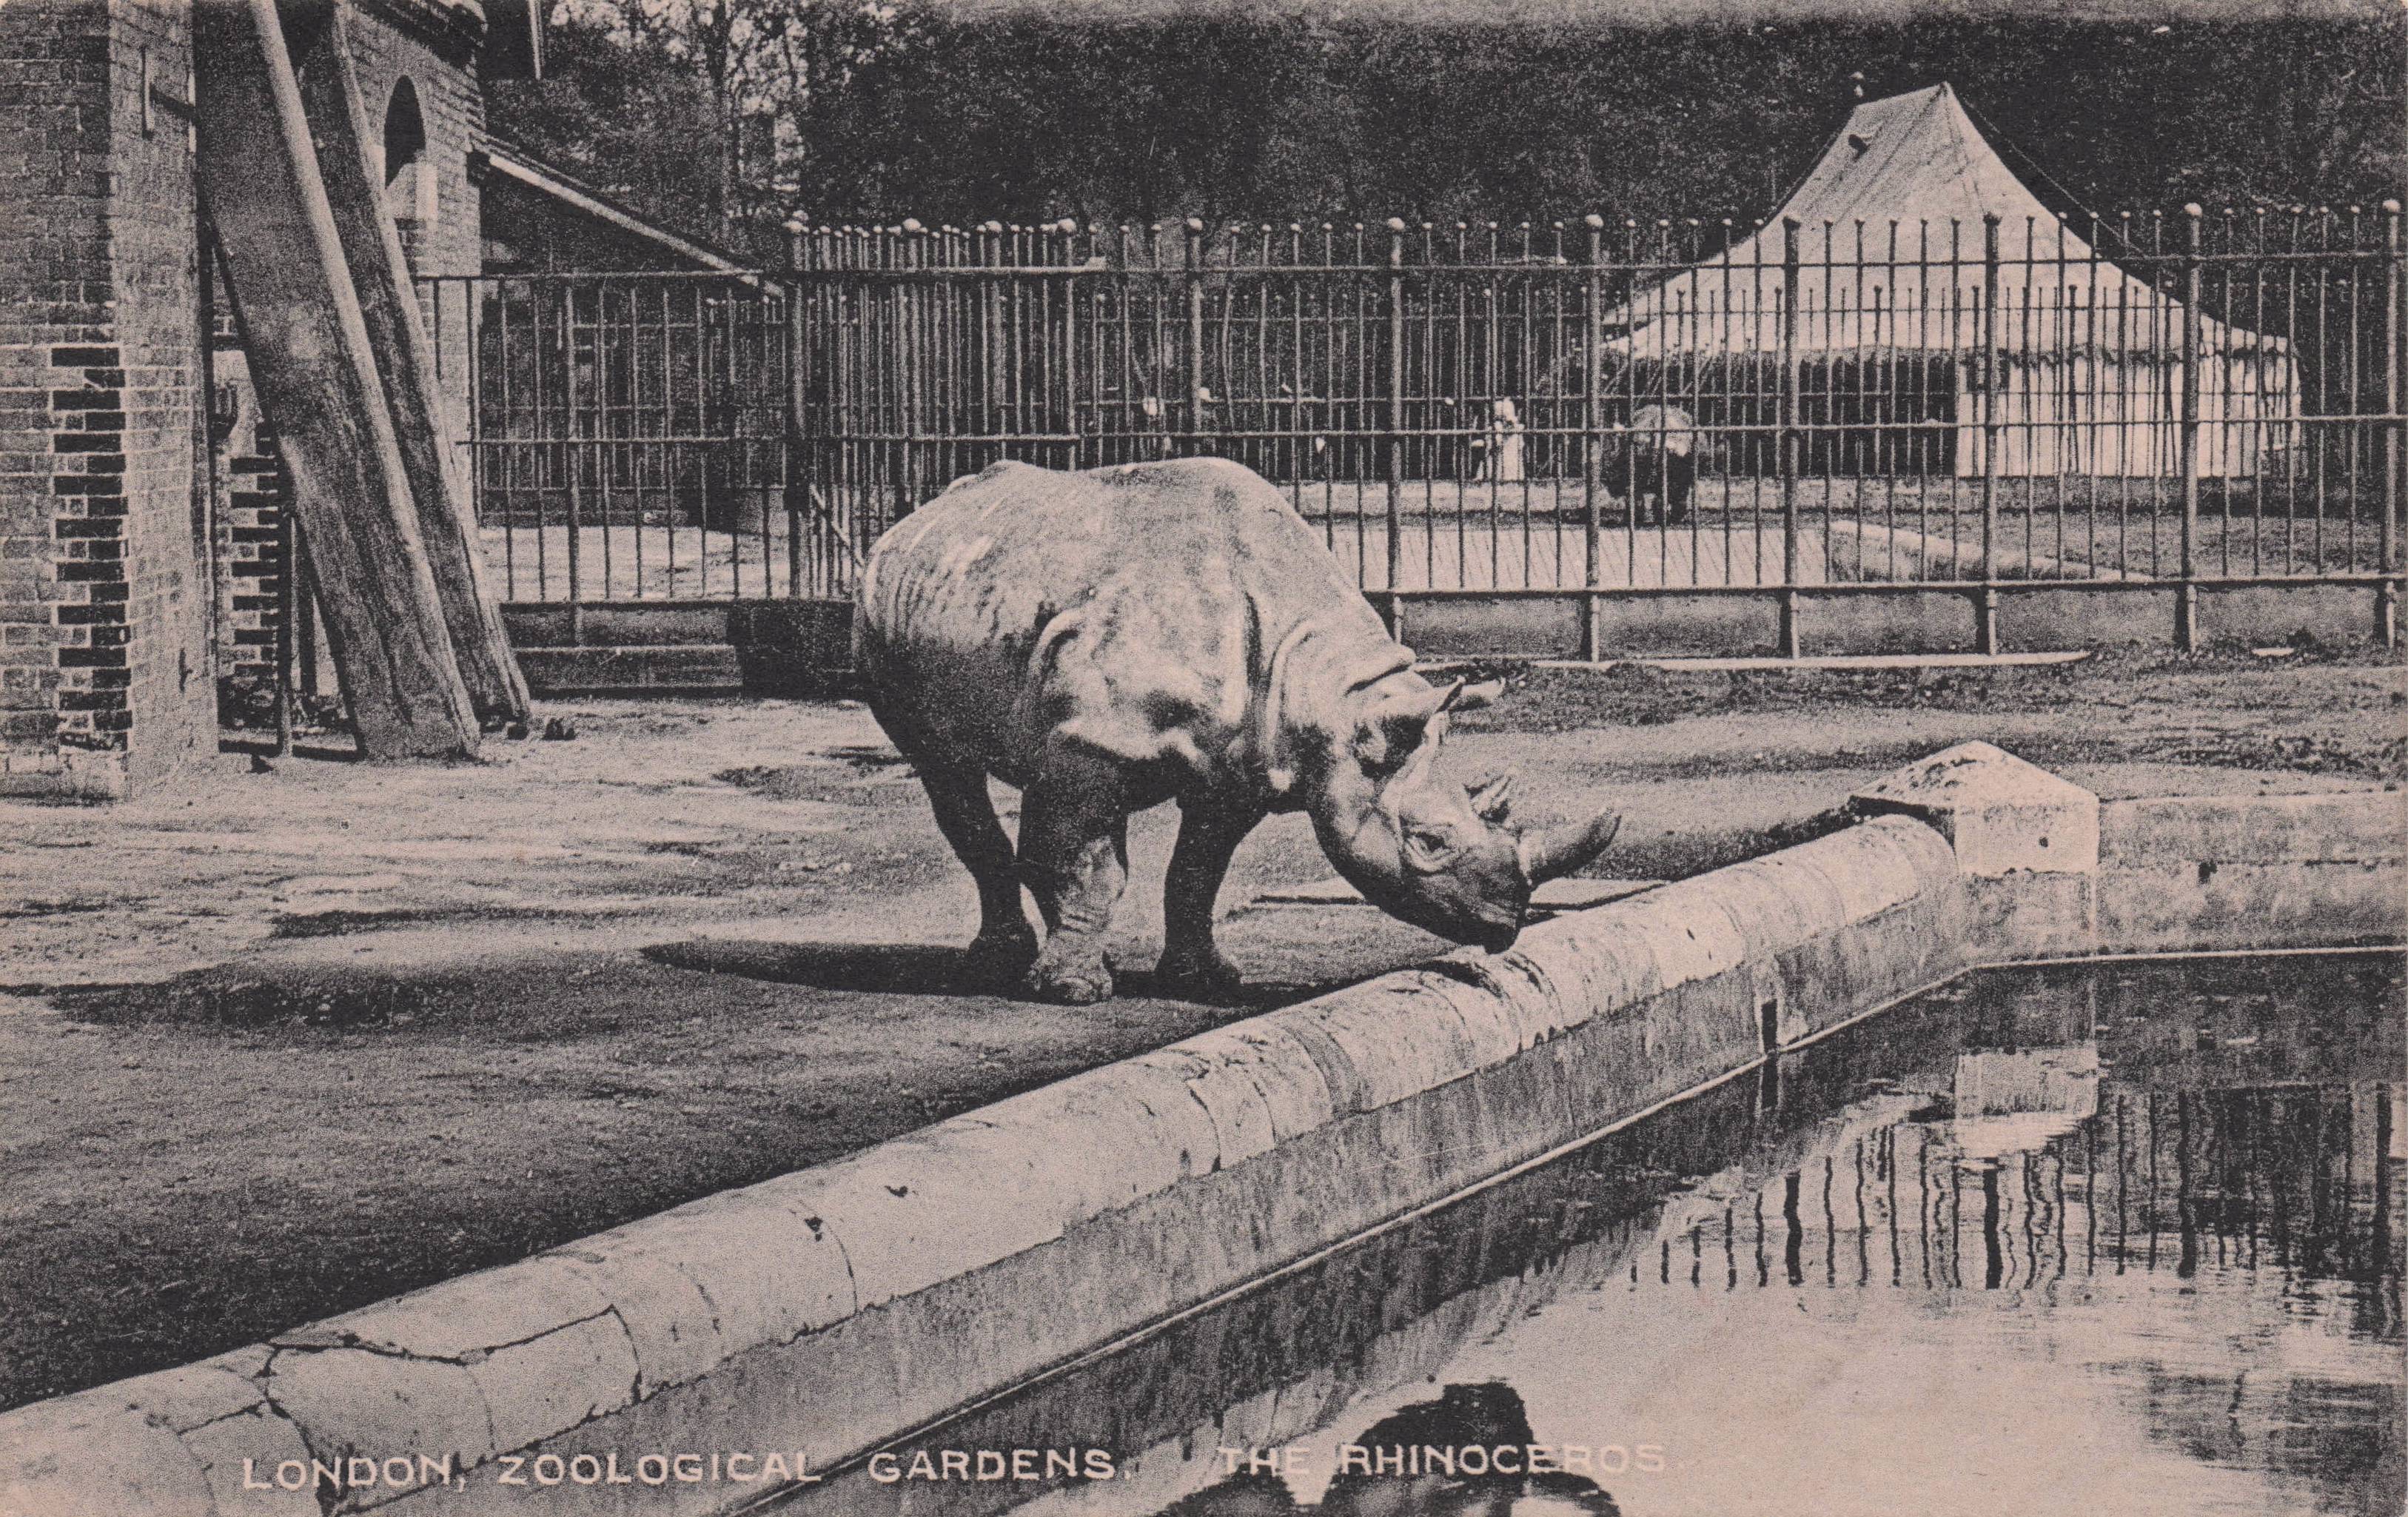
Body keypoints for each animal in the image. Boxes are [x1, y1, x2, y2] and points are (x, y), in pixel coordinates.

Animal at [855, 456, 1620, 1004]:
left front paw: (1204, 979)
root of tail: (919, 516)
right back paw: (1006, 964)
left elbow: (1196, 870)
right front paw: (1071, 992)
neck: (1327, 693)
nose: (1506, 924)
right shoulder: (1090, 747)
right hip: (884, 621)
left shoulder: (1241, 767)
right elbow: (1091, 864)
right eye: (1429, 841)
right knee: (946, 769)